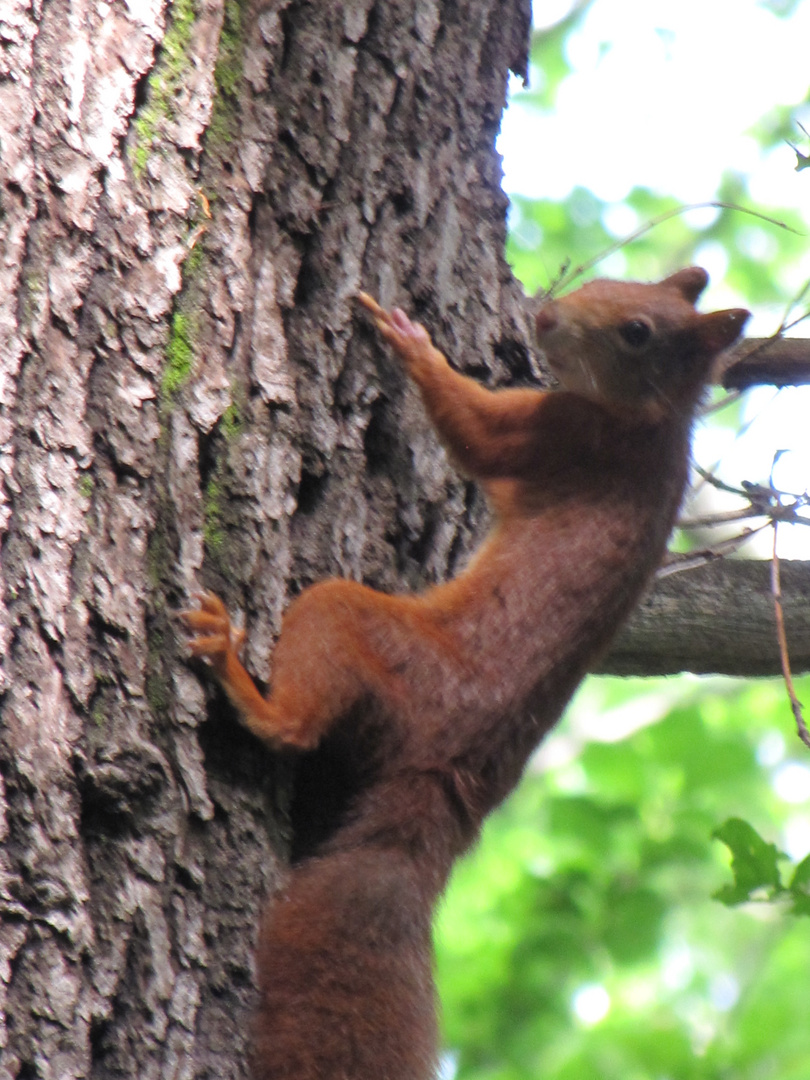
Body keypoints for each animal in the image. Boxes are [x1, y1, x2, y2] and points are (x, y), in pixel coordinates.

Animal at [180, 263, 751, 1080]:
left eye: (638, 332)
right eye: (614, 281)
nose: (544, 318)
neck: (656, 423)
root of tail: (444, 786)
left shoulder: (563, 434)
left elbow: (475, 434)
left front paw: (410, 340)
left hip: (373, 642)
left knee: (297, 721)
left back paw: (236, 674)